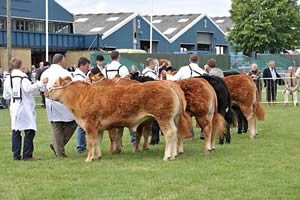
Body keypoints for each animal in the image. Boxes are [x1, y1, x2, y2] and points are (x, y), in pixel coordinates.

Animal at [49, 76, 184, 162]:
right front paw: (97, 157)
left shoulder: (90, 124)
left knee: (169, 133)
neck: (82, 97)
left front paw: (89, 158)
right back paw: (173, 155)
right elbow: (97, 141)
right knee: (175, 132)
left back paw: (167, 156)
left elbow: (91, 142)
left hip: (163, 118)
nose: (46, 92)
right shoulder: (99, 127)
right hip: (172, 118)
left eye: (54, 84)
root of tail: (167, 84)